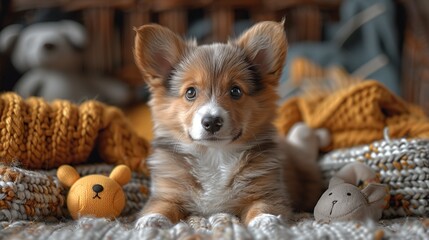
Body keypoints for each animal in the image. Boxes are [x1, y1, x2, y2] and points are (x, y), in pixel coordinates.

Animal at [134, 21, 318, 229]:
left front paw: (265, 220)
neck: (215, 155)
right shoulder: (166, 194)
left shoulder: (269, 193)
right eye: (190, 92)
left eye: (235, 91)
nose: (212, 122)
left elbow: (262, 206)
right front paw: (151, 220)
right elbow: (160, 207)